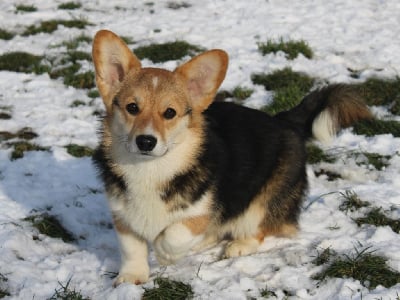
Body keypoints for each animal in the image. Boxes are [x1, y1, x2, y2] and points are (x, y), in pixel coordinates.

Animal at [91, 29, 372, 284]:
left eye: (169, 113)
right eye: (132, 108)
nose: (146, 141)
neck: (152, 169)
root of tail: (284, 121)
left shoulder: (206, 209)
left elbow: (175, 233)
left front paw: (164, 255)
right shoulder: (123, 216)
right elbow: (131, 249)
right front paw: (131, 278)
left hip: (263, 200)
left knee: (259, 227)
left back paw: (239, 245)